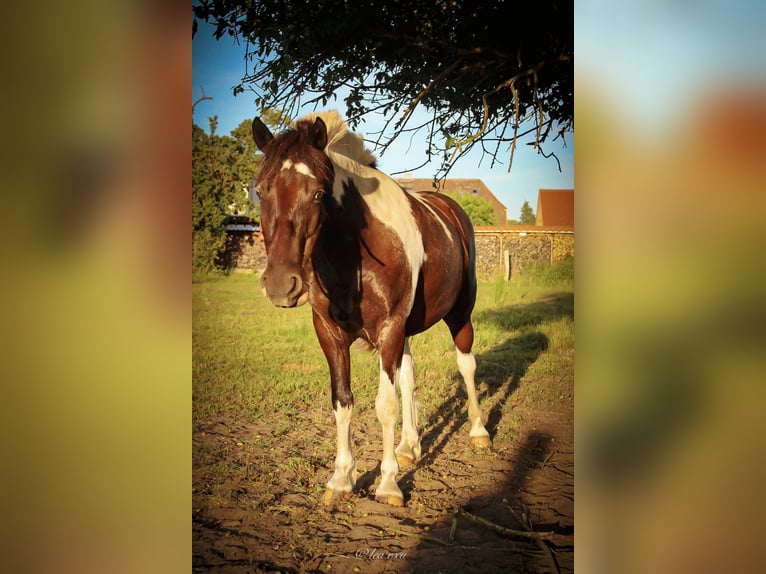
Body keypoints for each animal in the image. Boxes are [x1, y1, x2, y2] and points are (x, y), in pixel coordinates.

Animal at [251, 110, 490, 507]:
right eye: (260, 191)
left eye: (319, 193)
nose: (281, 285)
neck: (353, 255)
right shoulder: (331, 334)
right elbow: (344, 402)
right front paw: (341, 478)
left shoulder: (390, 327)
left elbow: (385, 405)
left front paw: (389, 482)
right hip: (407, 330)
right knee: (409, 374)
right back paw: (409, 446)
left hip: (459, 313)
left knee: (466, 365)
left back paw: (478, 431)